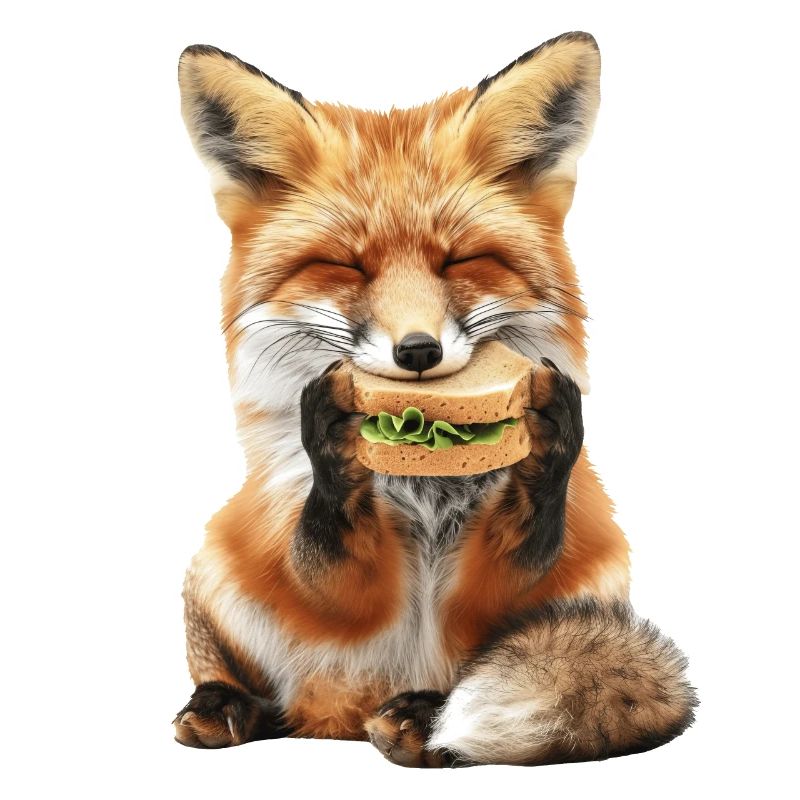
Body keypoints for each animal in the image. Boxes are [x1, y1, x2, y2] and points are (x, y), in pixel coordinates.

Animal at [173, 32, 697, 767]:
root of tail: (335, 719)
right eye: (347, 265)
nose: (417, 351)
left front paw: (554, 431)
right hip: (218, 569)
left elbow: (516, 562)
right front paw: (329, 431)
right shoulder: (309, 555)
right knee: (243, 677)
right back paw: (226, 705)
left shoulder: (522, 586)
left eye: (459, 260)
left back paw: (421, 721)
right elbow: (328, 568)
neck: (426, 493)